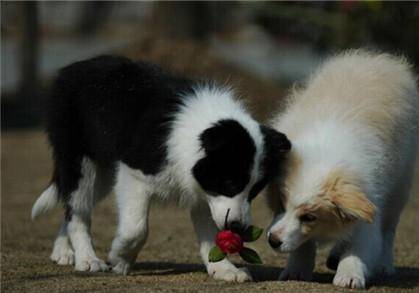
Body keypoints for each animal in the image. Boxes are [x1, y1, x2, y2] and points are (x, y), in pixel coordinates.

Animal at [31, 55, 292, 280]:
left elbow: (211, 231)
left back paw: (63, 251)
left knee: (71, 204)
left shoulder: (204, 189)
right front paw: (120, 259)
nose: (239, 227)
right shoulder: (134, 173)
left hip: (102, 174)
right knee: (77, 207)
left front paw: (223, 269)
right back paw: (87, 259)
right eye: (229, 183)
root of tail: (73, 68)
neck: (198, 131)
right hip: (81, 161)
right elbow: (137, 228)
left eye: (255, 191)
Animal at [268, 50, 418, 288]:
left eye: (309, 217)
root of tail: (377, 58)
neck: (326, 154)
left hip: (399, 189)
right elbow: (303, 244)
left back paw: (384, 265)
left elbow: (360, 245)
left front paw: (349, 274)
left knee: (388, 231)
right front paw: (296, 269)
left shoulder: (369, 200)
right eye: (281, 204)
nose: (272, 241)